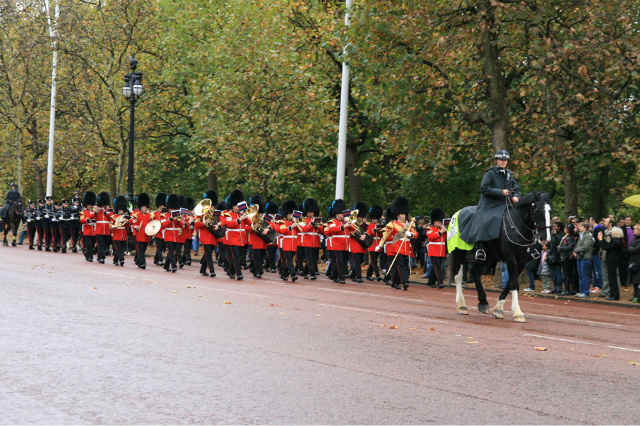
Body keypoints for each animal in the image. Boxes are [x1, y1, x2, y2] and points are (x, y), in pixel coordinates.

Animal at [444, 191, 556, 322]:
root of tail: (457, 213)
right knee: (458, 277)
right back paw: (462, 306)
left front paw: (498, 308)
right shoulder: (511, 259)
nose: (545, 238)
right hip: (460, 253)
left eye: (550, 210)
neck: (516, 227)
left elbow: (509, 284)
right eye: (537, 210)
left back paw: (483, 302)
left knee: (475, 274)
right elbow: (514, 284)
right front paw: (517, 313)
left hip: (484, 258)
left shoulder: (521, 262)